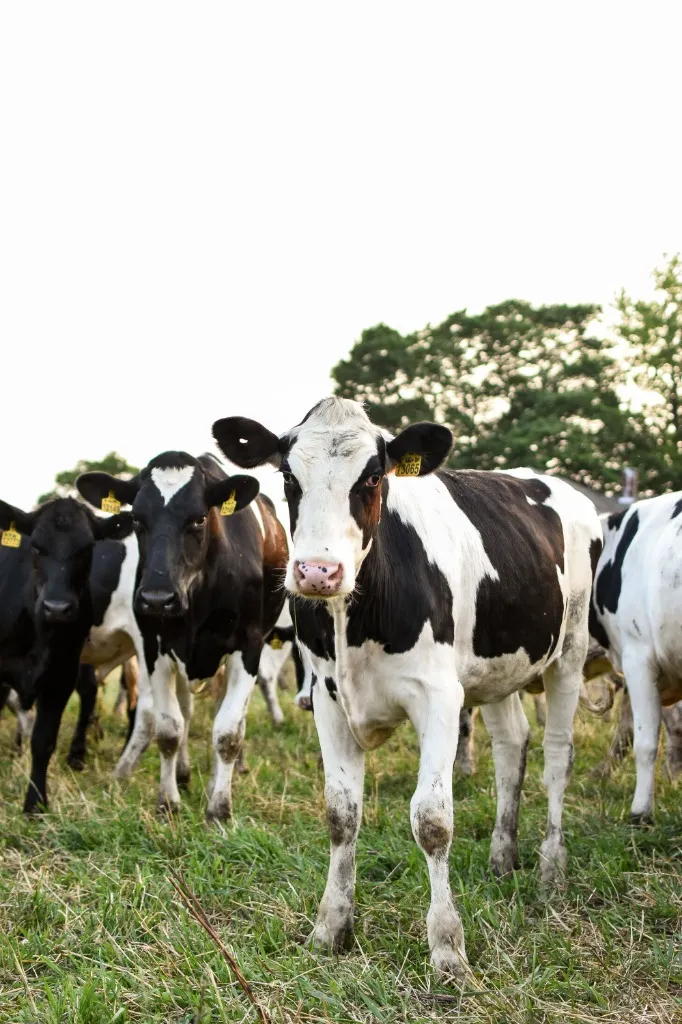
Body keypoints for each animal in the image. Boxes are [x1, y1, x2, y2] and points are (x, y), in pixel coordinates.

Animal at [0, 496, 137, 811]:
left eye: (87, 548)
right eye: (36, 547)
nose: (57, 608)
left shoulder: (60, 675)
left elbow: (43, 741)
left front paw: (35, 805)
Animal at [77, 451, 288, 818]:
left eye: (200, 518)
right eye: (137, 519)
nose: (157, 598)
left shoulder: (248, 647)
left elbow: (228, 732)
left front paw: (219, 809)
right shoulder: (154, 647)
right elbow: (169, 728)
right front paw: (168, 801)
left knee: (228, 717)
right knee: (186, 713)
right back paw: (185, 773)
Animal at [211, 398, 601, 979]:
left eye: (373, 477)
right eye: (287, 476)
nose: (318, 572)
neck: (355, 617)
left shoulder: (438, 698)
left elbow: (432, 820)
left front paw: (447, 948)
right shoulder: (328, 699)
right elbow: (341, 814)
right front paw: (331, 927)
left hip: (570, 651)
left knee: (557, 753)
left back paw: (550, 869)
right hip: (498, 667)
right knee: (512, 747)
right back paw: (502, 857)